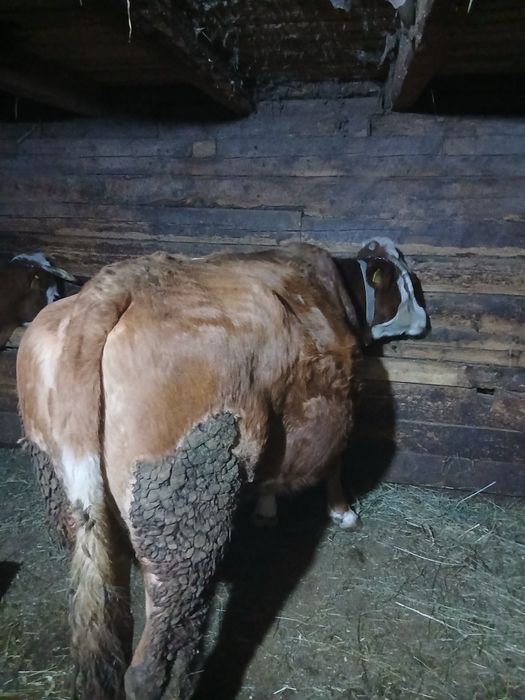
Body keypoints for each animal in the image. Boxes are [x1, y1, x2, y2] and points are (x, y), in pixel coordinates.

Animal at [16, 238, 428, 700]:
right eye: (405, 283)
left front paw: (266, 510)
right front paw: (343, 513)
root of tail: (108, 288)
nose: (424, 320)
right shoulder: (344, 402)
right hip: (184, 512)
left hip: (81, 508)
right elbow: (335, 463)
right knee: (156, 656)